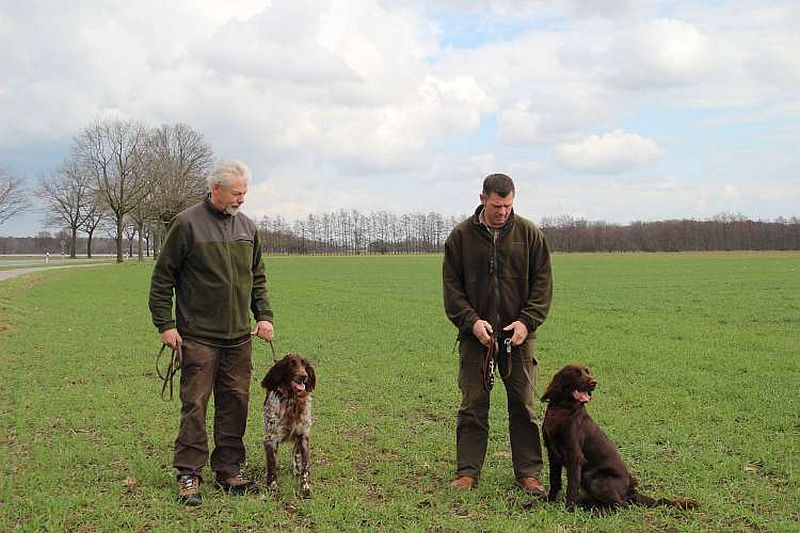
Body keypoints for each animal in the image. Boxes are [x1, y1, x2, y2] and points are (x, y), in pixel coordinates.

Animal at [261, 352, 316, 497]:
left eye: (304, 364)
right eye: (291, 364)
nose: (304, 376)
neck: (292, 400)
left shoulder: (303, 436)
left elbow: (305, 466)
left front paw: (305, 487)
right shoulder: (270, 439)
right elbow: (271, 467)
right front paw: (272, 487)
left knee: (296, 454)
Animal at [541, 365, 698, 511]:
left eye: (587, 371)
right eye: (576, 373)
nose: (594, 382)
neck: (562, 409)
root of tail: (631, 491)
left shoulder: (575, 456)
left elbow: (572, 486)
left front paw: (569, 509)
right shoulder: (552, 452)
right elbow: (554, 480)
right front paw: (549, 501)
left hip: (593, 478)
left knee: (621, 505)